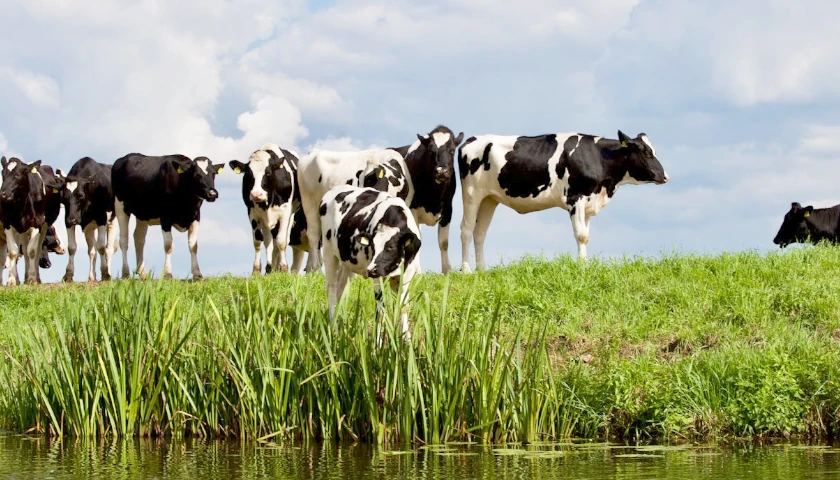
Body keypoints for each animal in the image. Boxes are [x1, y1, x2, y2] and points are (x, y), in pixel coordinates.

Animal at [229, 144, 301, 275]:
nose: (256, 194)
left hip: (291, 213)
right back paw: (270, 268)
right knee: (269, 241)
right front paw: (257, 270)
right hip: (264, 221)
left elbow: (281, 241)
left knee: (283, 239)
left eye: (267, 173)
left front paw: (283, 268)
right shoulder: (252, 213)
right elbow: (258, 242)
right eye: (248, 174)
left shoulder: (285, 212)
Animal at [319, 185, 421, 339]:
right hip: (328, 251)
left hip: (348, 263)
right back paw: (334, 328)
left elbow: (403, 307)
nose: (370, 270)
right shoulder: (378, 279)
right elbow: (380, 309)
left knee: (340, 291)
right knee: (331, 288)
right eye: (372, 246)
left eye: (391, 247)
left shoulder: (406, 277)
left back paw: (342, 327)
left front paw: (406, 340)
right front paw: (377, 343)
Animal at [390, 125, 464, 273]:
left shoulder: (448, 208)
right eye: (431, 151)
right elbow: (416, 239)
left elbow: (444, 242)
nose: (441, 171)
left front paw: (447, 270)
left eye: (452, 151)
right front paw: (417, 271)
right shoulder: (412, 209)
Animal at [457, 130, 669, 272]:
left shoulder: (589, 202)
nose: (665, 176)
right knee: (466, 230)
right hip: (471, 194)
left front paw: (585, 263)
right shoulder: (575, 198)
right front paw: (582, 266)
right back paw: (466, 270)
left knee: (480, 233)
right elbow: (581, 235)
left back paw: (482, 270)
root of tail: (471, 140)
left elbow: (586, 235)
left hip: (489, 199)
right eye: (647, 153)